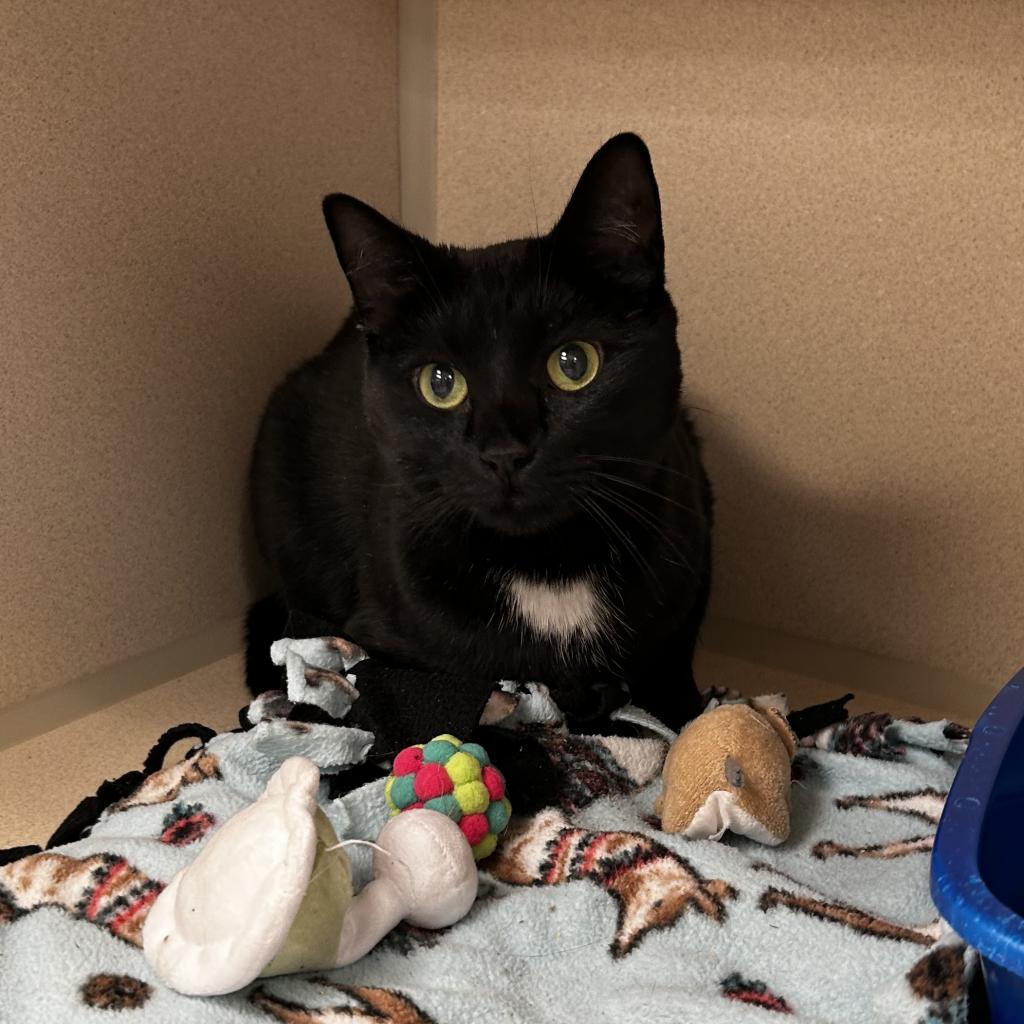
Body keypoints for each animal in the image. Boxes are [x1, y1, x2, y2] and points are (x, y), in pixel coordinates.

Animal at [247, 132, 712, 733]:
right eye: (440, 382)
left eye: (574, 362)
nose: (504, 452)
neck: (548, 566)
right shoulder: (385, 642)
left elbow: (672, 668)